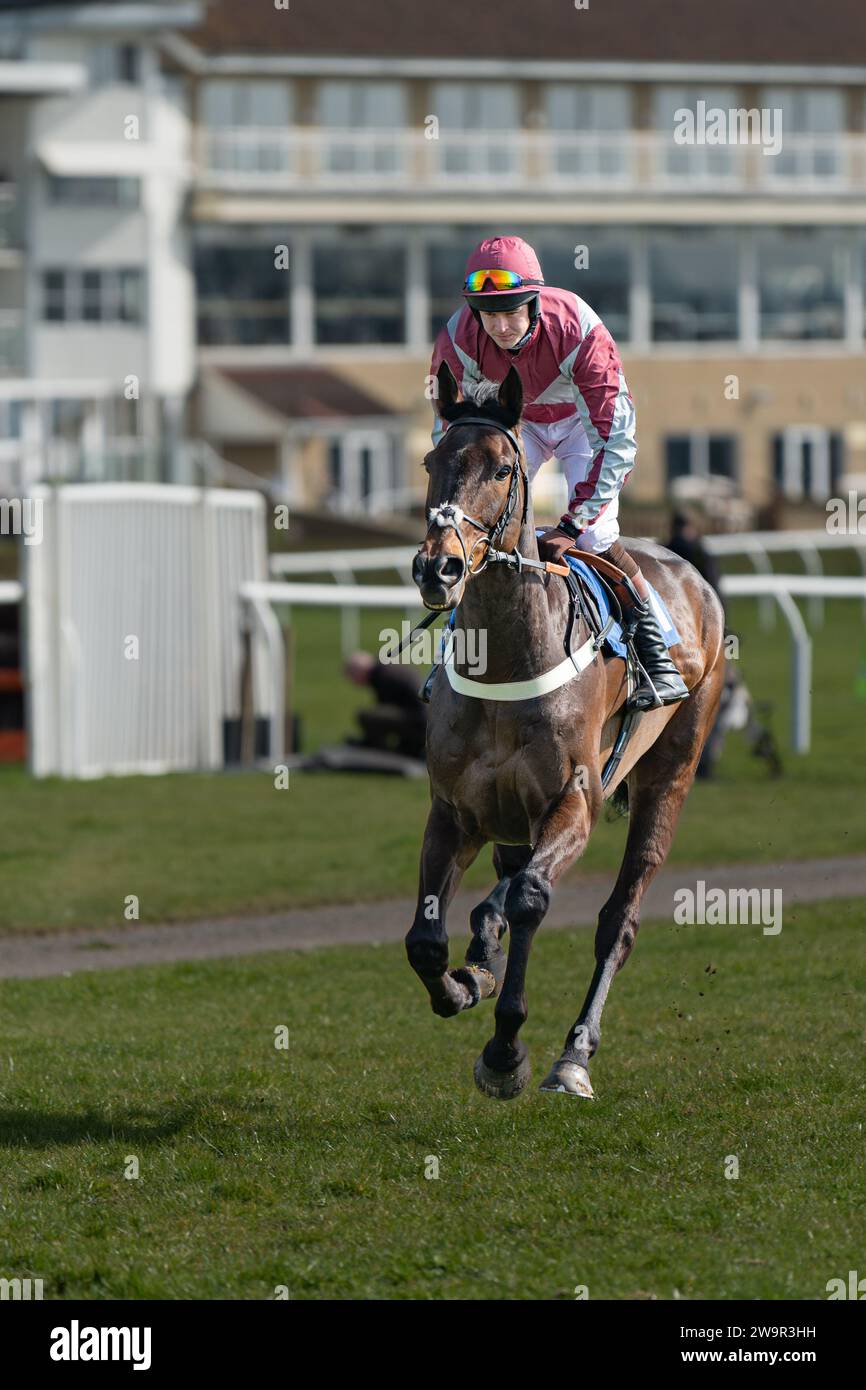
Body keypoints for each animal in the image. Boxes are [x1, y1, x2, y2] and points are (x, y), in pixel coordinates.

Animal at [405, 364, 722, 1100]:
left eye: (500, 467)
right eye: (433, 461)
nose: (438, 567)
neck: (508, 660)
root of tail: (690, 572)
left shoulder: (573, 801)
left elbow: (532, 899)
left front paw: (506, 1051)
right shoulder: (454, 811)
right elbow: (425, 938)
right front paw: (463, 982)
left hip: (671, 775)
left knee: (617, 922)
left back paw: (573, 1055)